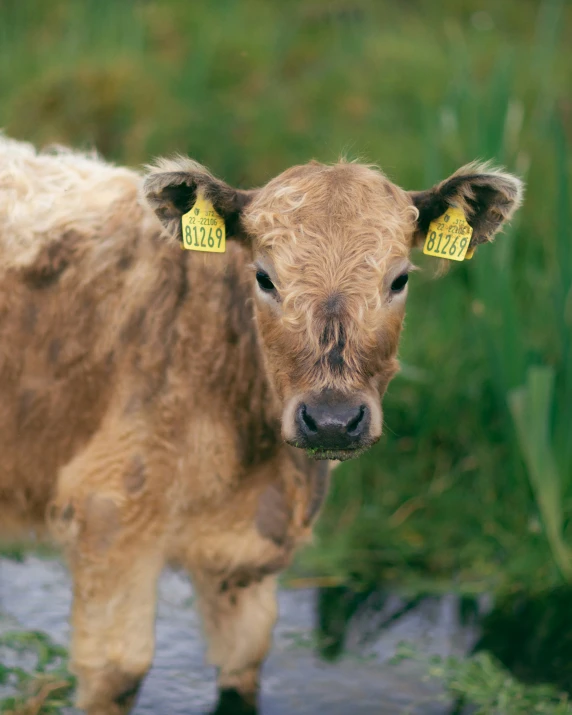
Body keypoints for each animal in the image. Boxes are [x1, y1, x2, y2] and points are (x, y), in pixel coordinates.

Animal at [0, 136, 520, 715]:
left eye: (400, 279)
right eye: (264, 278)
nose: (333, 421)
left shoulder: (244, 562)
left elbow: (242, 666)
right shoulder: (108, 518)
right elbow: (118, 673)